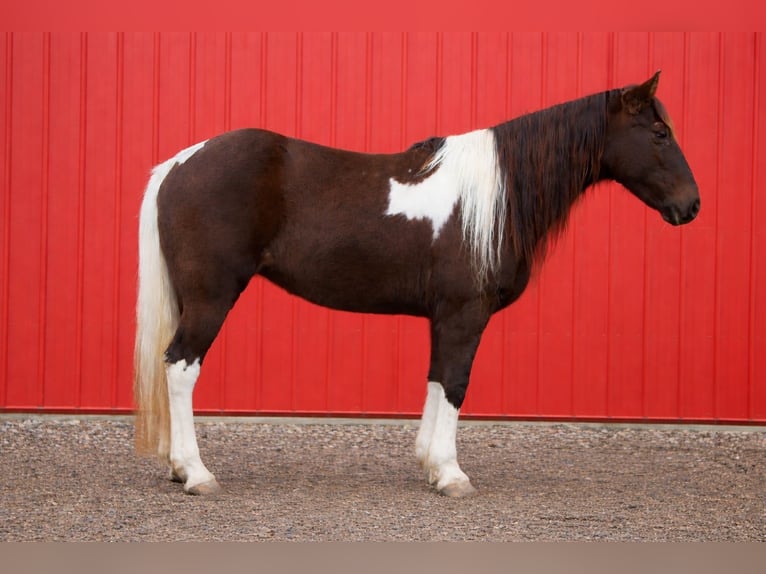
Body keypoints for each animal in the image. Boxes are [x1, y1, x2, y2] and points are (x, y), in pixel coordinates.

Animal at [134, 71, 699, 498]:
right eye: (659, 134)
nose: (691, 206)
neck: (494, 197)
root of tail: (179, 164)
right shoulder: (465, 313)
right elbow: (455, 384)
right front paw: (451, 475)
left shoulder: (444, 316)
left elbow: (435, 381)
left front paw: (430, 463)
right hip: (211, 296)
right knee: (180, 367)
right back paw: (196, 474)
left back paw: (178, 469)